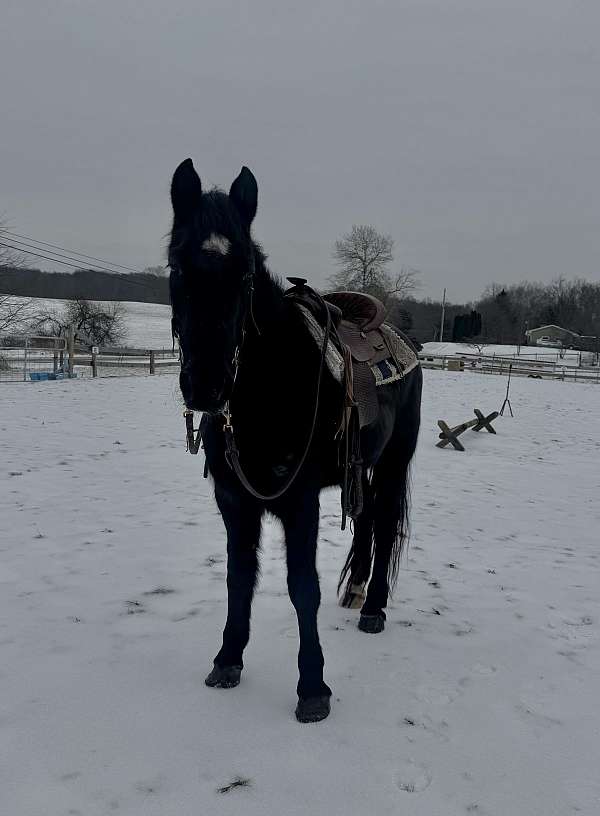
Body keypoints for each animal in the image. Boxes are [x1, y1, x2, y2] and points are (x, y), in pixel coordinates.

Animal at [169, 159, 422, 720]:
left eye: (244, 273)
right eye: (176, 265)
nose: (206, 384)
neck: (270, 387)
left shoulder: (299, 500)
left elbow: (301, 587)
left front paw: (313, 688)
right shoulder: (234, 500)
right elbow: (239, 575)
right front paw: (227, 659)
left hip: (394, 461)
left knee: (386, 519)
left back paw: (373, 608)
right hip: (359, 467)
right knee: (366, 518)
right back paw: (355, 591)